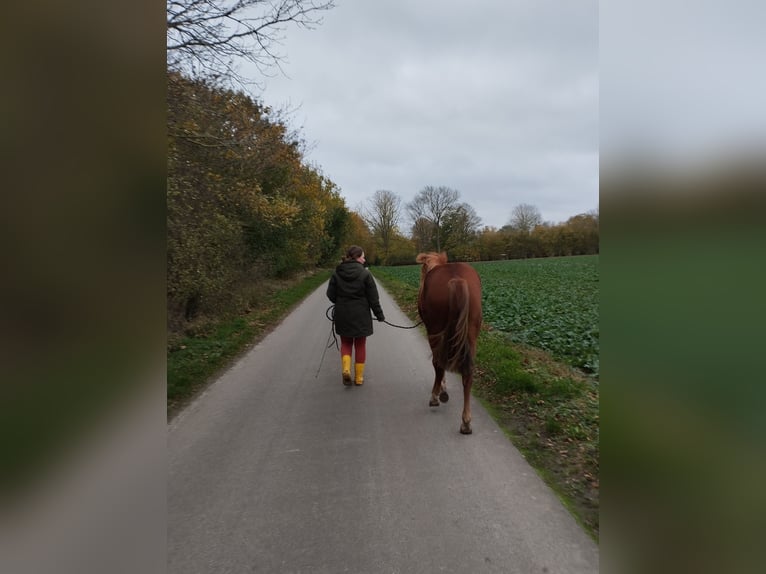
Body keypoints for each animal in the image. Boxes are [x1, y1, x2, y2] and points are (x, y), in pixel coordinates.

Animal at [416, 253, 484, 436]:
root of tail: (457, 278)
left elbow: (439, 363)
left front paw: (441, 389)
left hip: (435, 329)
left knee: (438, 364)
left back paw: (434, 397)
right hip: (471, 333)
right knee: (468, 373)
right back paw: (466, 422)